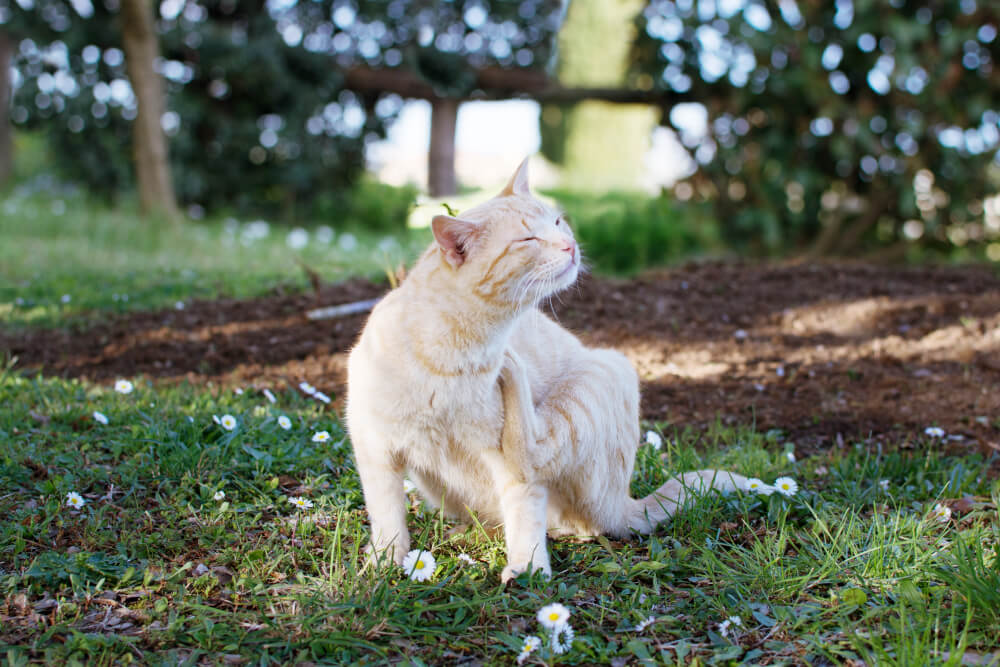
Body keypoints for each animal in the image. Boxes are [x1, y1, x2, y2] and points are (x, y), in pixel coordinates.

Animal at [344, 159, 744, 580]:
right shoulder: (374, 448)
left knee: (535, 460)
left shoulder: (503, 462)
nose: (570, 246)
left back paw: (512, 369)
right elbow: (387, 517)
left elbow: (524, 505)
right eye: (528, 240)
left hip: (609, 368)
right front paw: (384, 563)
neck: (457, 352)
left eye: (556, 222)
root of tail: (624, 503)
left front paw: (528, 569)